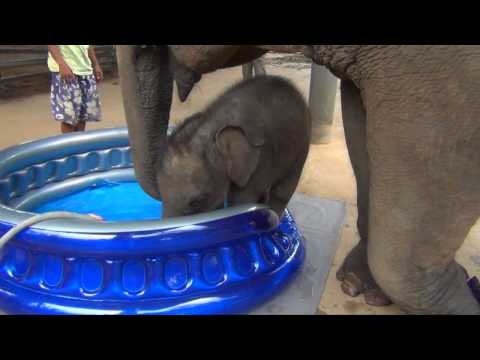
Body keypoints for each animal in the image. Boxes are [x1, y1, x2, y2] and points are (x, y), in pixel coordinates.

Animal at [156, 75, 310, 218]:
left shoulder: (260, 160)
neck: (212, 126)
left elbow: (242, 202)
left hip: (301, 145)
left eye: (197, 202)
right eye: (161, 196)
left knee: (284, 189)